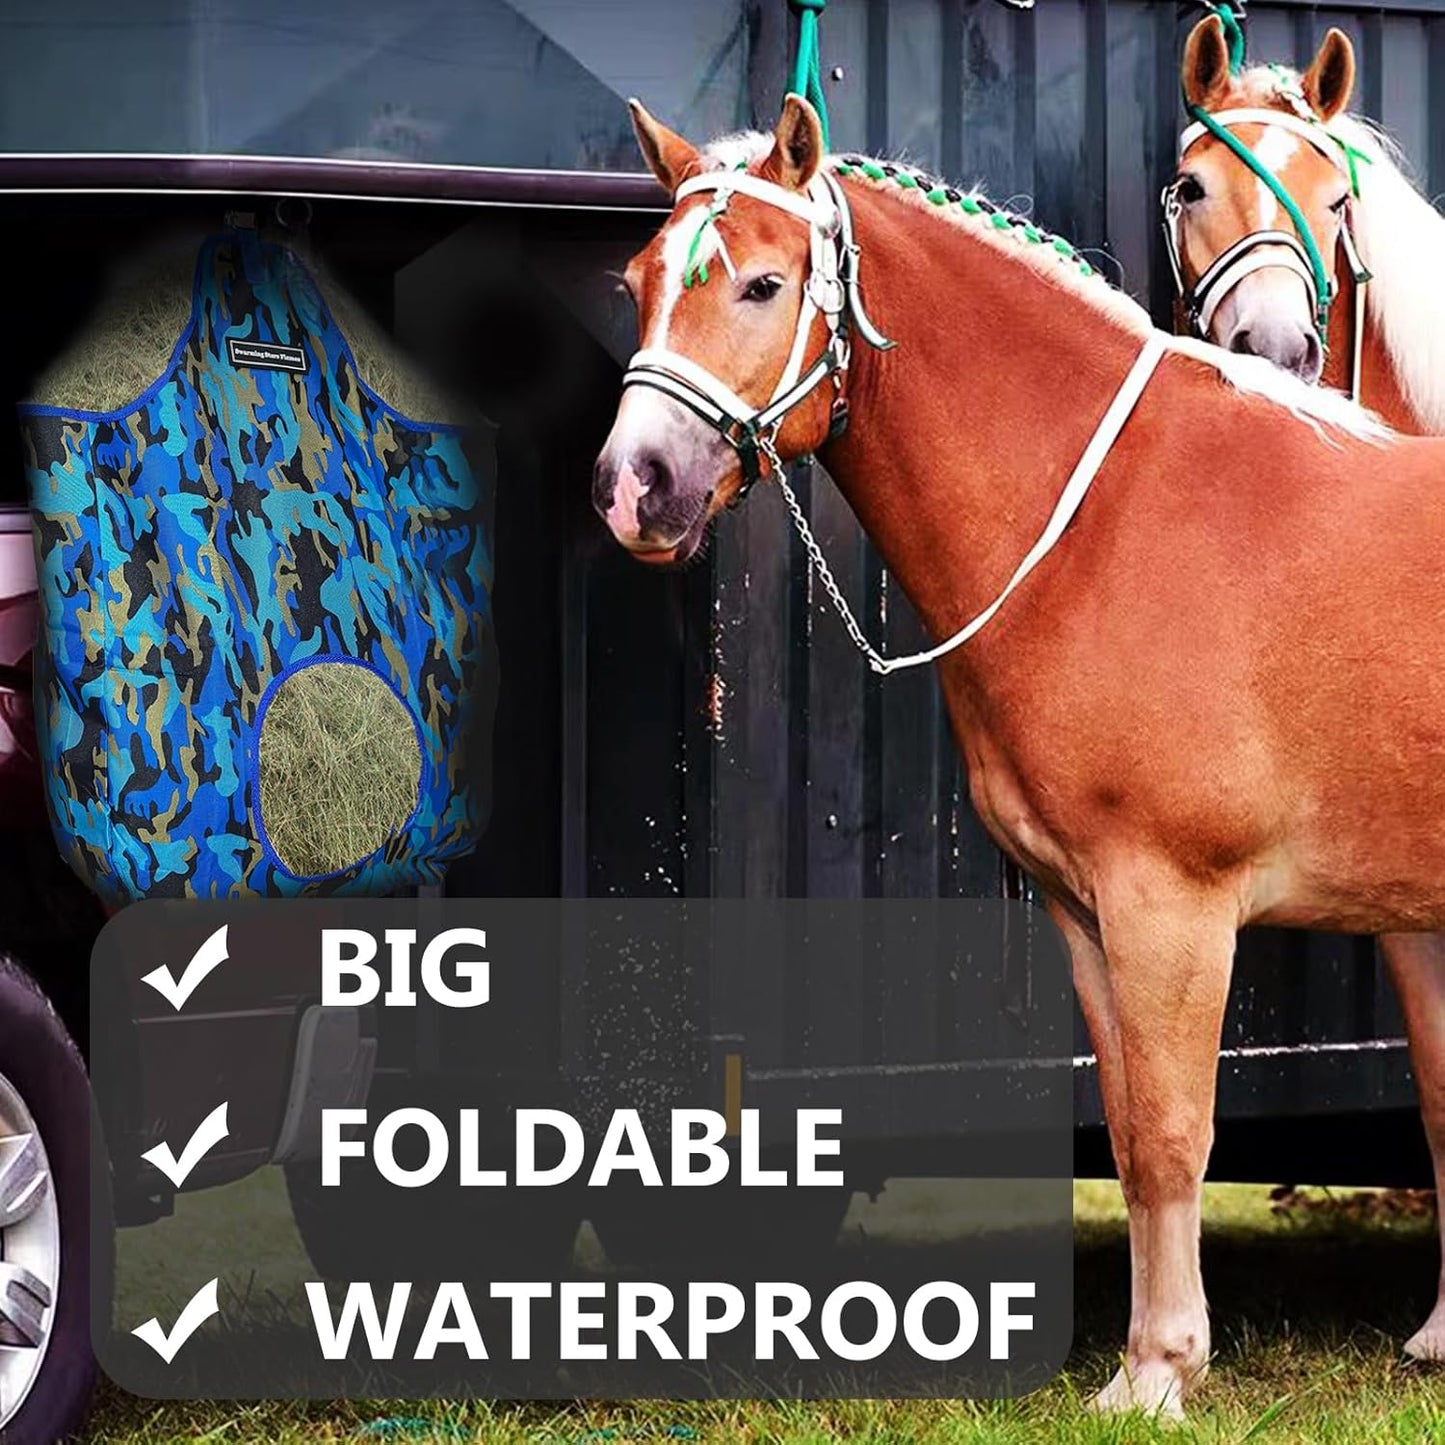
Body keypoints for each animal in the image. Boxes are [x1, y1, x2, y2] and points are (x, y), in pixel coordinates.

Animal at [592, 91, 1445, 1415]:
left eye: (763, 284)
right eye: (636, 281)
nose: (635, 485)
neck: (1106, 522)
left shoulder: (1171, 906)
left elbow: (1172, 1132)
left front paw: (1159, 1372)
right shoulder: (1084, 909)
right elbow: (1131, 1129)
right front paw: (1144, 1364)